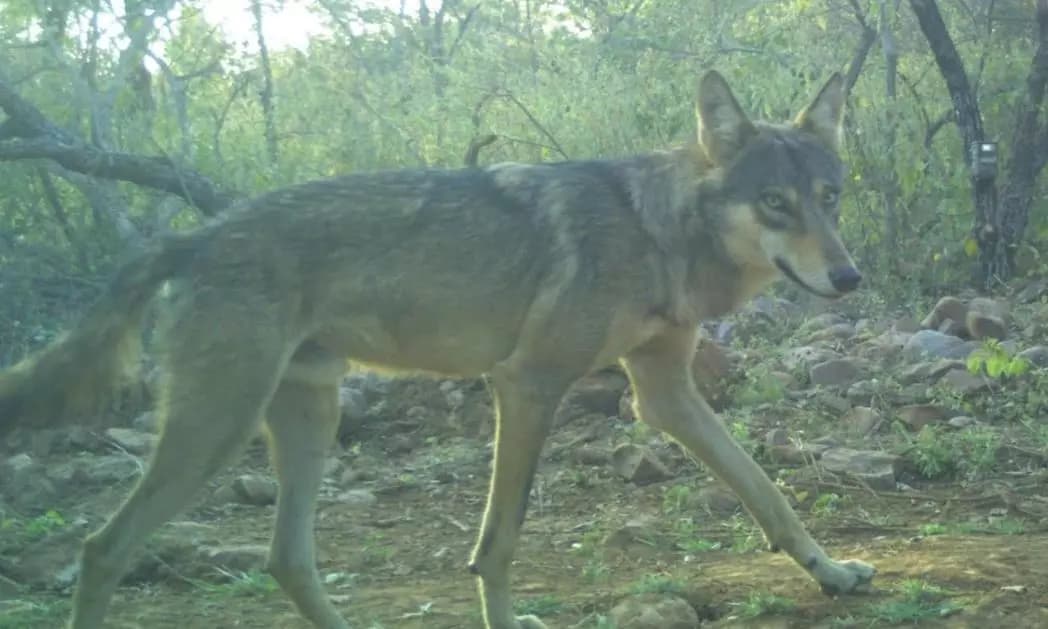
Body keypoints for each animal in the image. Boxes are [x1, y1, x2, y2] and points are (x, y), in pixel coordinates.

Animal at [0, 69, 874, 629]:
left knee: (286, 559)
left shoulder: (663, 394)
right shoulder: (527, 384)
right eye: (775, 202)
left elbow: (766, 489)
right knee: (101, 548)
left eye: (830, 198)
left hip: (306, 420)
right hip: (216, 430)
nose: (849, 275)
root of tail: (195, 234)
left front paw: (830, 571)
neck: (658, 228)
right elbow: (499, 542)